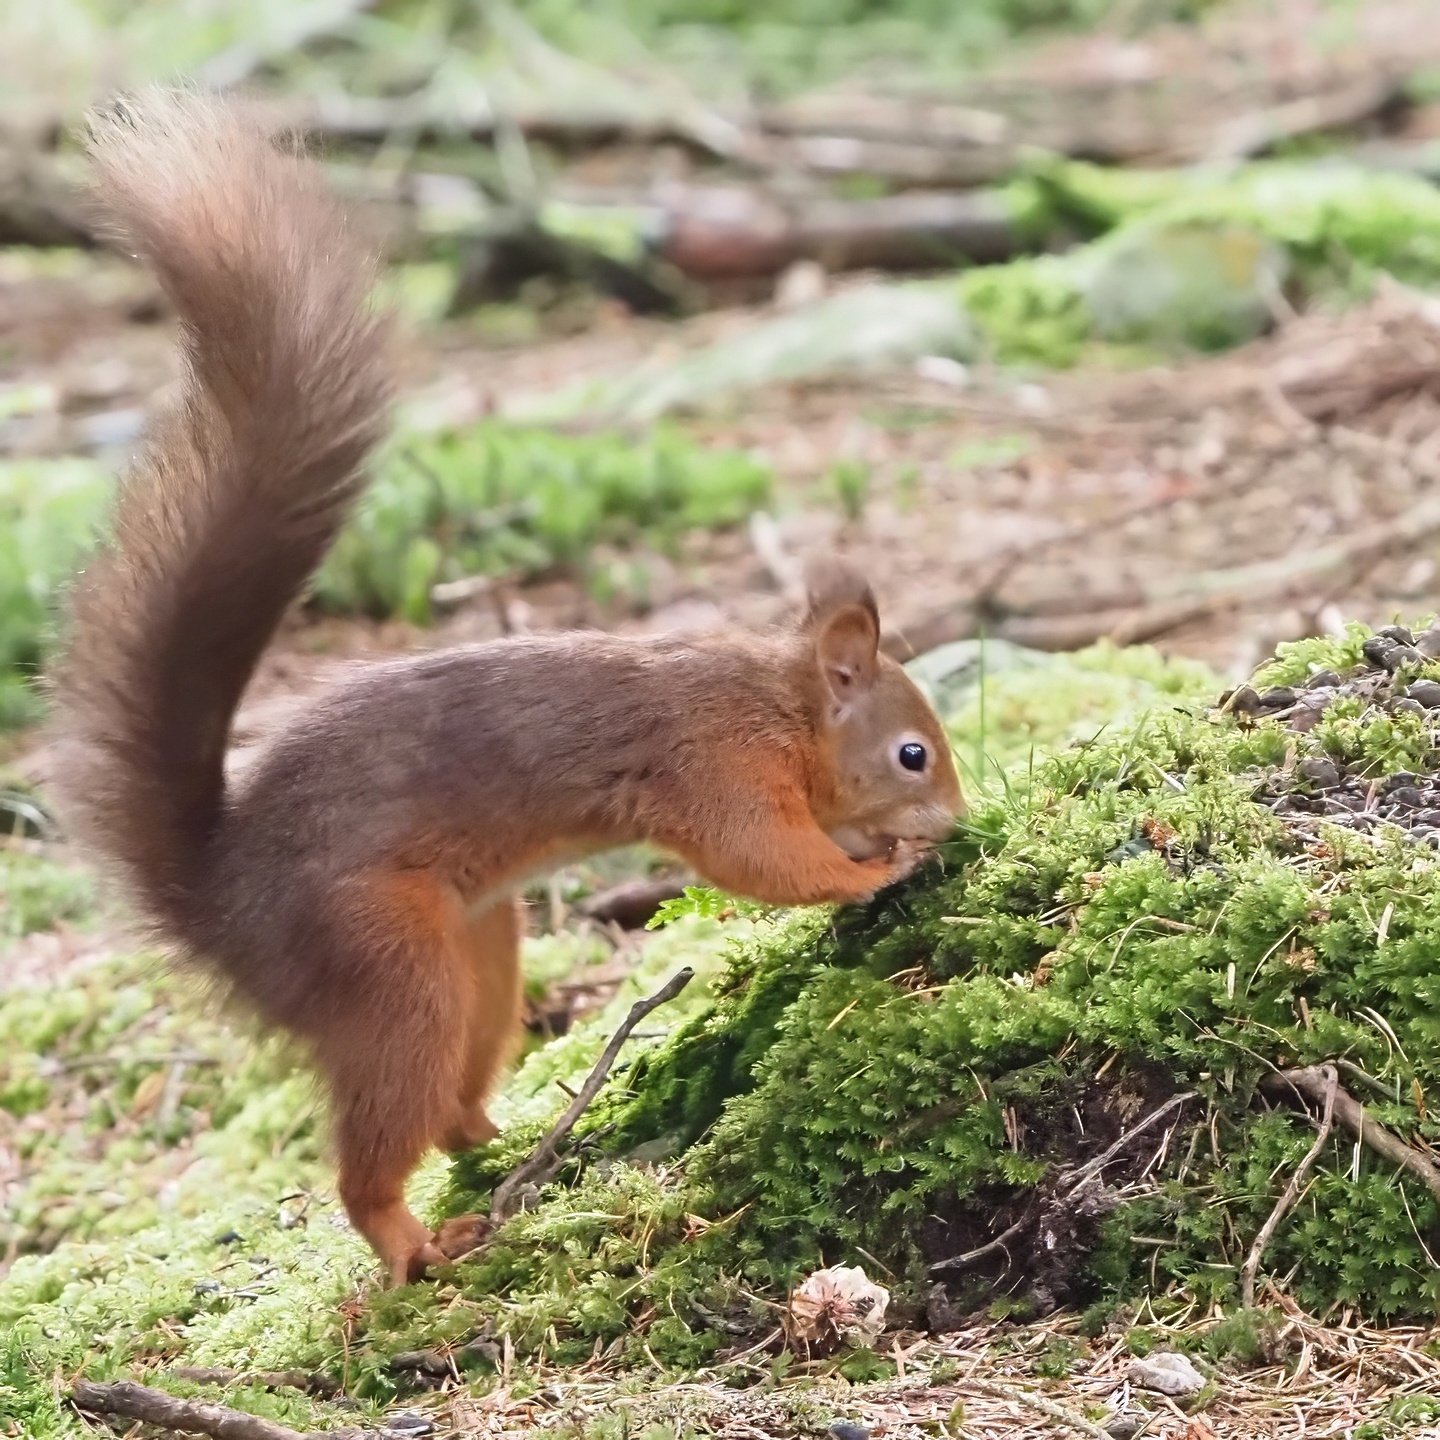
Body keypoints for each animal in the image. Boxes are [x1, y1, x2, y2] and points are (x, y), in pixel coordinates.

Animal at [49, 90, 964, 1288]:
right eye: (912, 752)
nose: (959, 816)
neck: (777, 704)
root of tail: (216, 905)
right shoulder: (710, 769)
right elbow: (759, 862)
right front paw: (873, 870)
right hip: (385, 964)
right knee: (377, 1146)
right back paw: (419, 1241)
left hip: (484, 946)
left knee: (452, 1102)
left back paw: (512, 1132)